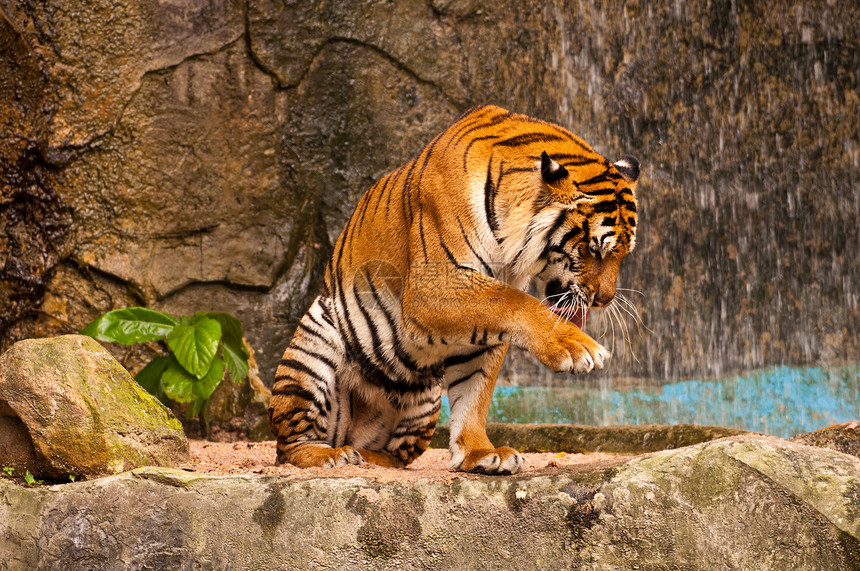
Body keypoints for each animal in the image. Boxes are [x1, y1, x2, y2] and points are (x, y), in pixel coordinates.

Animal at [268, 105, 640, 476]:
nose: (604, 300)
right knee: (290, 445)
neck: (510, 249)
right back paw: (328, 456)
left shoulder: (484, 324)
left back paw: (370, 459)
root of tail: (347, 435)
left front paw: (480, 453)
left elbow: (474, 392)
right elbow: (517, 303)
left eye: (624, 253)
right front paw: (578, 347)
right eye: (594, 249)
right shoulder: (433, 285)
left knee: (393, 453)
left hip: (425, 400)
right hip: (316, 340)